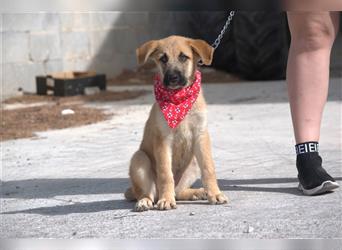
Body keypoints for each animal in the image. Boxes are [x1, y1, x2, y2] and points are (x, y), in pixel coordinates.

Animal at [124, 34, 228, 211]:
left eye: (183, 57)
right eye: (163, 59)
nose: (173, 78)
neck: (178, 99)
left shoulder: (201, 135)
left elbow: (208, 169)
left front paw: (215, 194)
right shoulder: (163, 140)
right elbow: (166, 174)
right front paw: (166, 200)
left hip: (193, 162)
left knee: (179, 192)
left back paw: (197, 192)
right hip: (139, 159)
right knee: (148, 192)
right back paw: (147, 200)